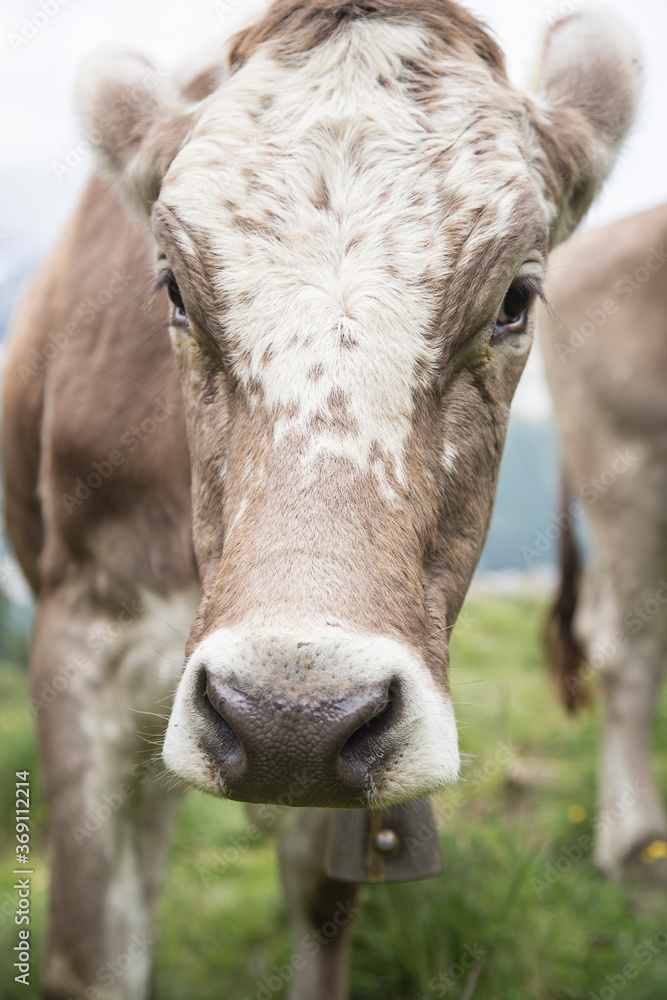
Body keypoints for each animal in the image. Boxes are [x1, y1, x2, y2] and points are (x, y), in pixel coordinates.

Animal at [2, 1, 640, 1000]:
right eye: (173, 289)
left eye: (515, 299)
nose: (288, 720)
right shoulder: (81, 634)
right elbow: (93, 947)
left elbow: (320, 899)